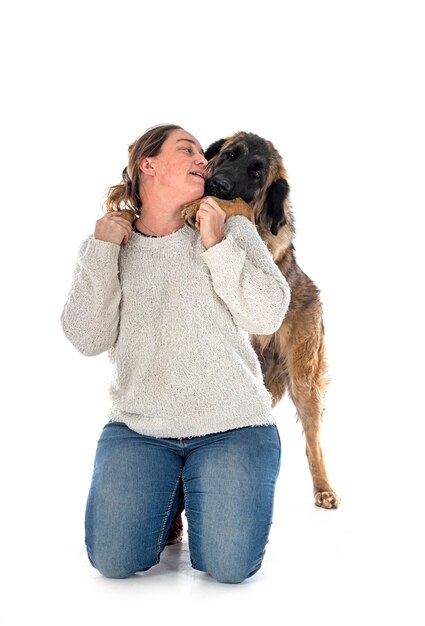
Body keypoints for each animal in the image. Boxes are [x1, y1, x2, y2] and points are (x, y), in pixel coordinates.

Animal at [181, 132, 338, 508]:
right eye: (229, 155)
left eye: (256, 174)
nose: (218, 184)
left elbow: (241, 208)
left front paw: (205, 206)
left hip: (305, 380)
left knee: (313, 443)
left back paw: (323, 488)